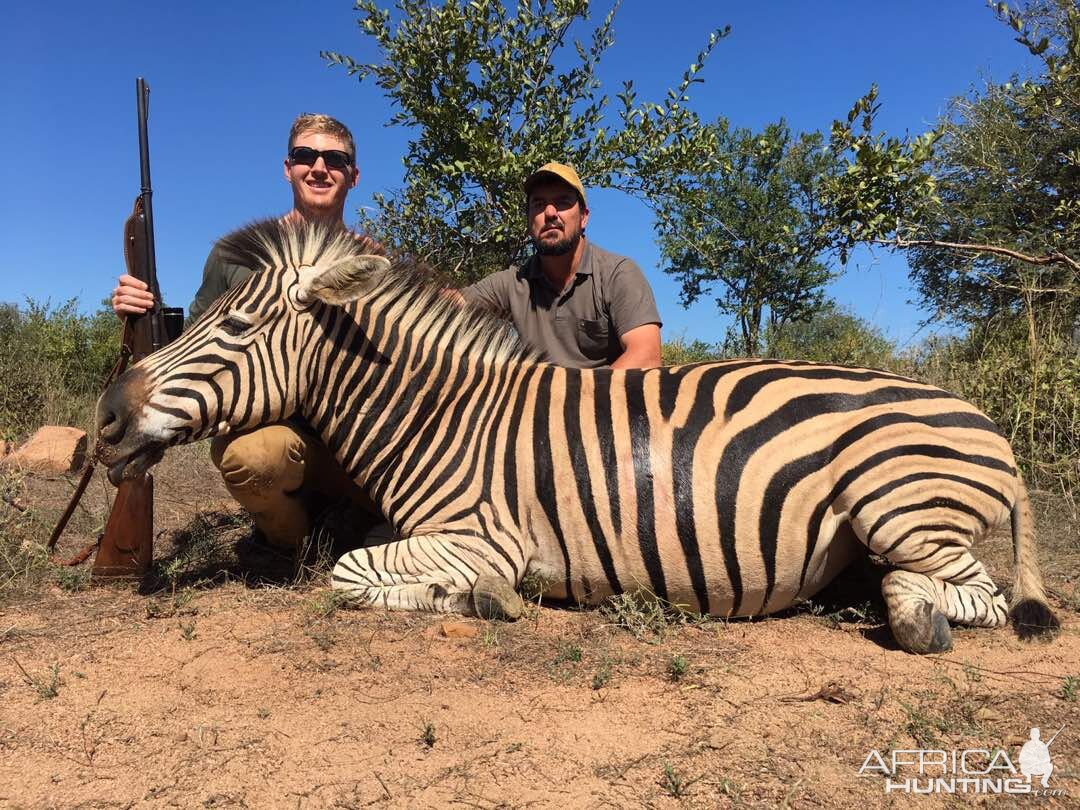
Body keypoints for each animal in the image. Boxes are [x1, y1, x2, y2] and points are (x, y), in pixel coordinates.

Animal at [97, 219, 1058, 656]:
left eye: (234, 325)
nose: (106, 418)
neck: (439, 414)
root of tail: (988, 424)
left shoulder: (480, 533)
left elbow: (350, 572)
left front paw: (481, 598)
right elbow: (355, 558)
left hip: (893, 502)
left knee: (976, 596)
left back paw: (912, 613)